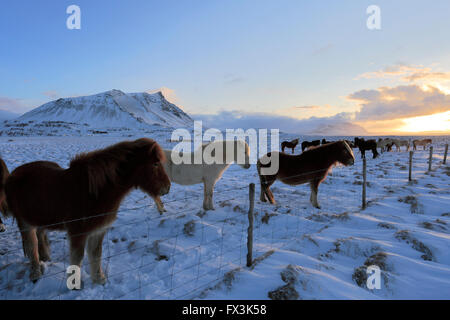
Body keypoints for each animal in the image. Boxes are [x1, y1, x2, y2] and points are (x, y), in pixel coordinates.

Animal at [3, 139, 171, 284]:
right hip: (24, 222)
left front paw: (99, 280)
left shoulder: (98, 231)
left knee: (40, 236)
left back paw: (45, 259)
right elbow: (77, 259)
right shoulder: (78, 233)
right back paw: (35, 273)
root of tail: (13, 174)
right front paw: (75, 285)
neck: (95, 192)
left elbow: (96, 255)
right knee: (31, 245)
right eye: (155, 163)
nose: (167, 188)